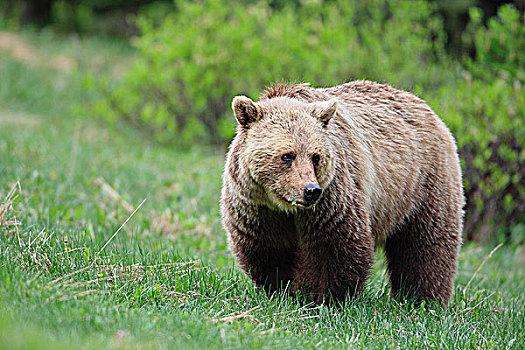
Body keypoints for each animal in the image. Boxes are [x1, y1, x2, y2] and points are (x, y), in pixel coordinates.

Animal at [221, 80, 462, 306]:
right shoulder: (257, 209)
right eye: (287, 155)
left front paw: (323, 298)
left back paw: (422, 300)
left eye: (315, 156)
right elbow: (269, 251)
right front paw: (283, 291)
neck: (284, 206)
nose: (311, 191)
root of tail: (426, 107)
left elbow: (336, 246)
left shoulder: (333, 197)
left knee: (425, 244)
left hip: (422, 184)